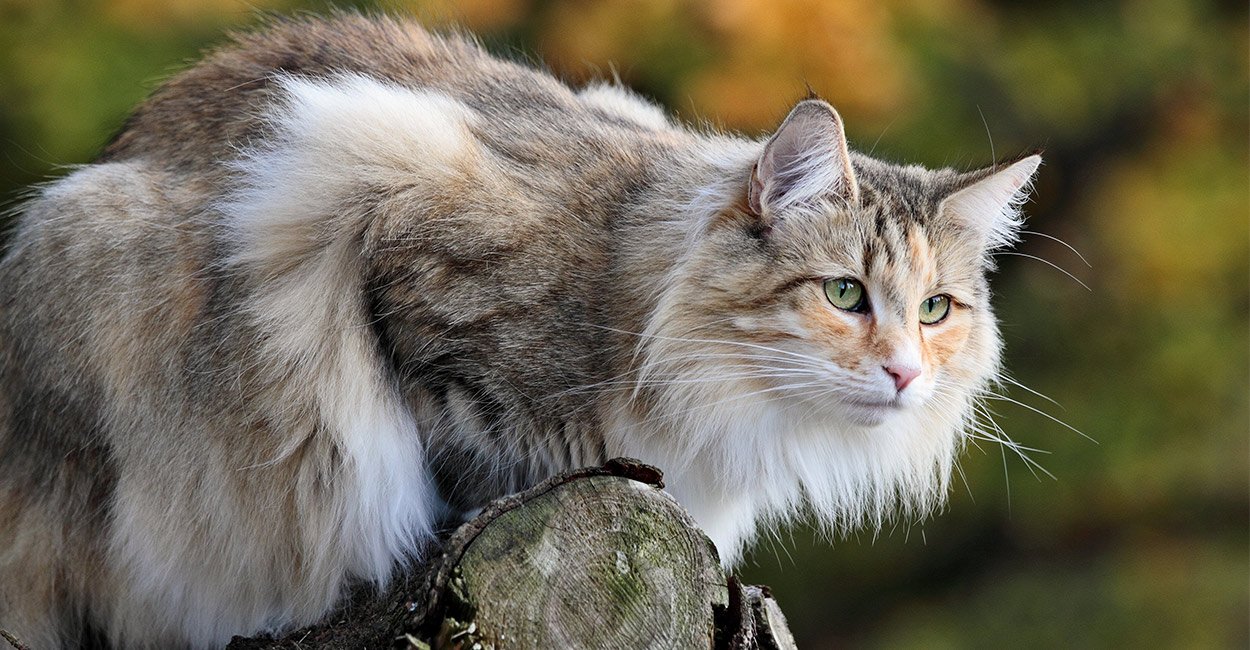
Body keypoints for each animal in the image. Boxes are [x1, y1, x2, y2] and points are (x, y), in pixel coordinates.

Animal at [0, 11, 1040, 650]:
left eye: (936, 310)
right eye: (845, 294)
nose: (905, 373)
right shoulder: (379, 213)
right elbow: (458, 447)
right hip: (86, 242)